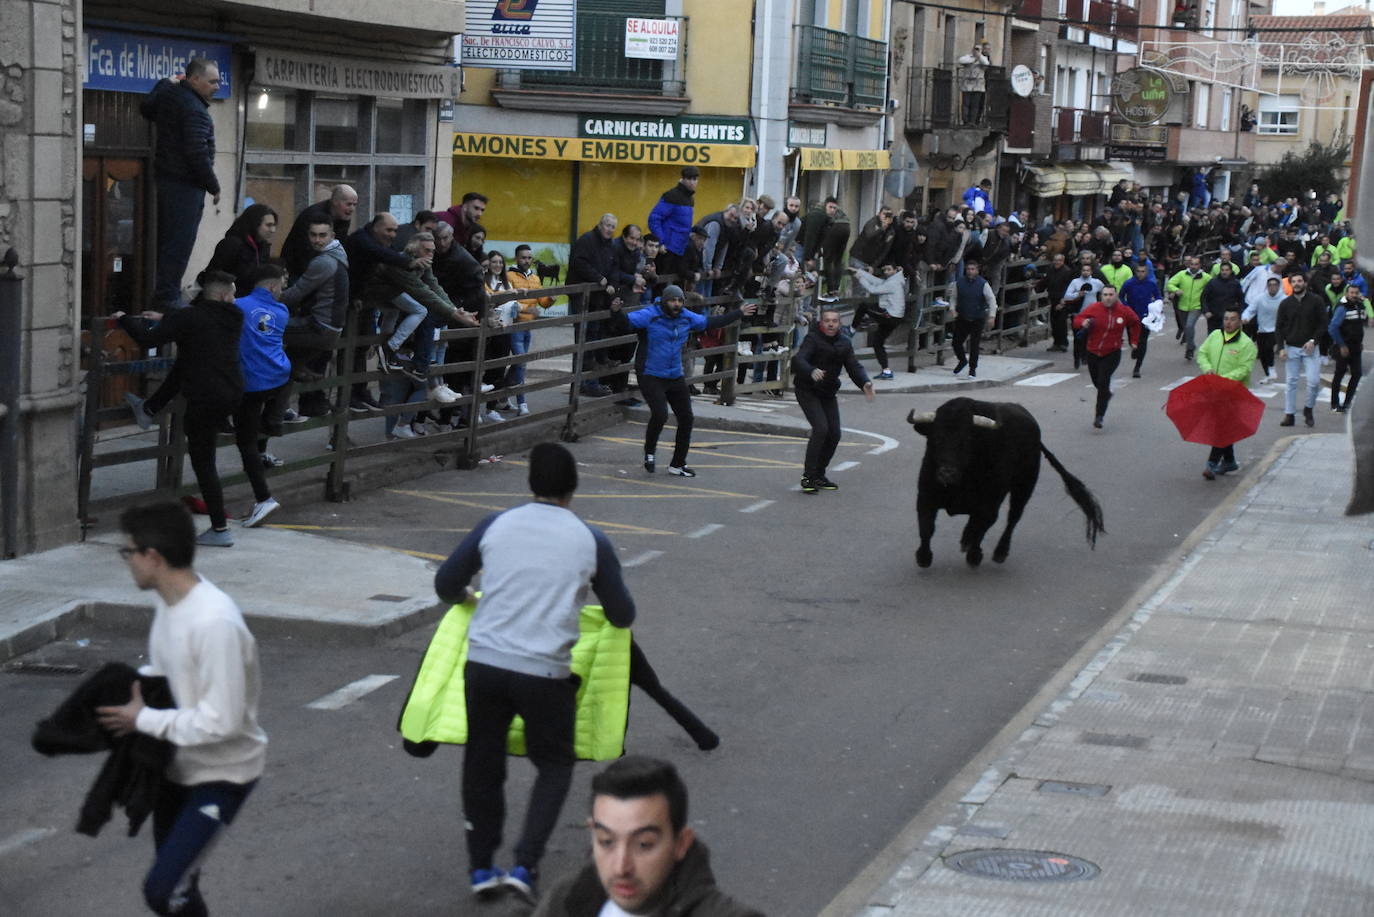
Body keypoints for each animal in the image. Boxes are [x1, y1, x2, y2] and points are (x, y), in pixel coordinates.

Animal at [912, 398, 1104, 566]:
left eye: (967, 439)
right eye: (935, 437)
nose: (947, 473)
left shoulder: (990, 505)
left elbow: (981, 528)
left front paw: (974, 556)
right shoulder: (925, 499)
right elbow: (926, 528)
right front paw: (923, 557)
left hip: (1024, 488)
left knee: (1013, 519)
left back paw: (999, 552)